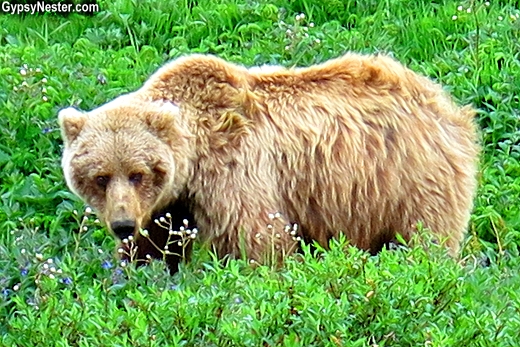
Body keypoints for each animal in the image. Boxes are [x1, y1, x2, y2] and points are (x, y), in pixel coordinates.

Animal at [58, 53, 480, 274]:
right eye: (100, 176)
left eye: (138, 173)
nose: (122, 224)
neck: (194, 160)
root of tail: (443, 101)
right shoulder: (170, 204)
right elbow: (157, 244)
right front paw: (139, 271)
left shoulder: (236, 171)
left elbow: (259, 240)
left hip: (409, 178)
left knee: (426, 238)